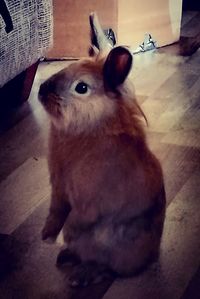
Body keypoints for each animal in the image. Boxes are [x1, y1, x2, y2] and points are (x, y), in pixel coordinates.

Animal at [38, 13, 166, 288]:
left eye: (81, 88)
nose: (41, 91)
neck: (89, 129)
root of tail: (152, 256)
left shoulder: (92, 202)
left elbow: (78, 218)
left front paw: (67, 233)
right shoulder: (58, 190)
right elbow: (56, 211)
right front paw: (47, 237)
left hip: (117, 253)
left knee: (108, 269)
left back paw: (81, 274)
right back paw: (66, 256)